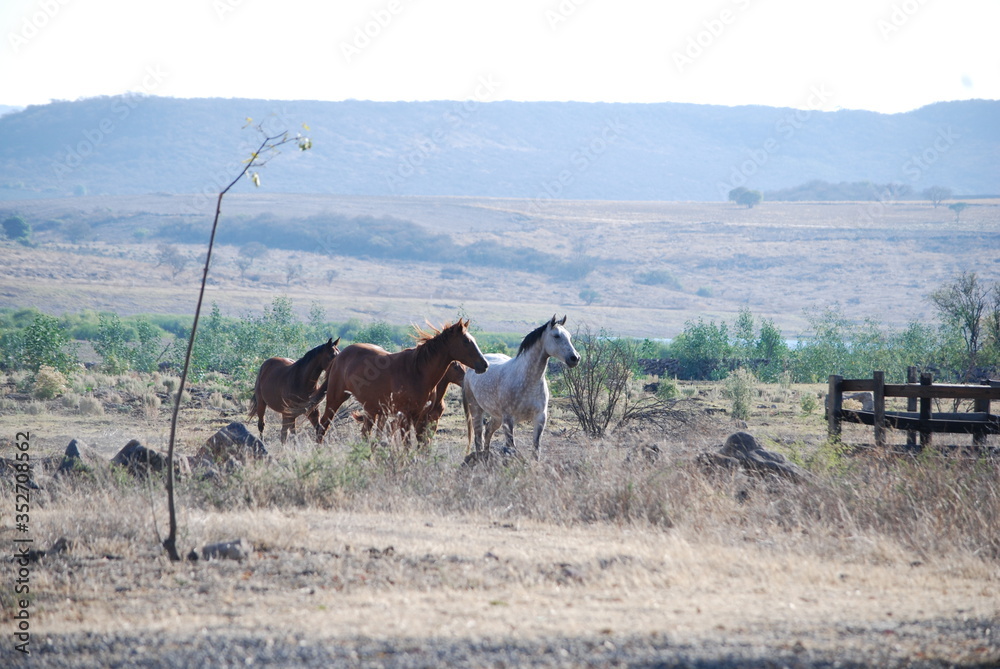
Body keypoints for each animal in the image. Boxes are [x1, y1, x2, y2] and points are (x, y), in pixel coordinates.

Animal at [316, 320, 488, 447]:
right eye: (466, 341)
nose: (484, 364)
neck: (417, 371)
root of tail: (339, 355)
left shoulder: (421, 418)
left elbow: (422, 445)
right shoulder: (405, 416)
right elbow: (407, 446)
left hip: (371, 409)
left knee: (366, 435)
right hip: (335, 399)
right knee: (323, 426)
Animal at [462, 315, 580, 461]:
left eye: (569, 336)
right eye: (556, 336)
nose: (575, 358)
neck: (527, 381)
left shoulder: (540, 417)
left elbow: (536, 448)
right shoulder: (508, 420)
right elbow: (512, 448)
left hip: (497, 416)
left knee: (488, 430)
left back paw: (487, 456)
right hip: (476, 410)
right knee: (479, 436)